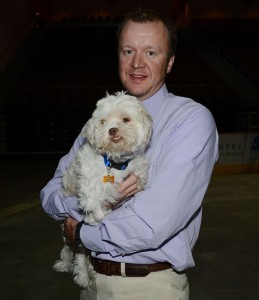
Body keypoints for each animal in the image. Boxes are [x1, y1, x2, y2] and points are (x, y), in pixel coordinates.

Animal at [53, 92, 153, 288]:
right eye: (103, 122)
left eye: (125, 119)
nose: (112, 130)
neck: (114, 163)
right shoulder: (88, 186)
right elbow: (95, 207)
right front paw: (96, 217)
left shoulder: (137, 172)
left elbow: (139, 180)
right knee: (79, 255)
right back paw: (82, 275)